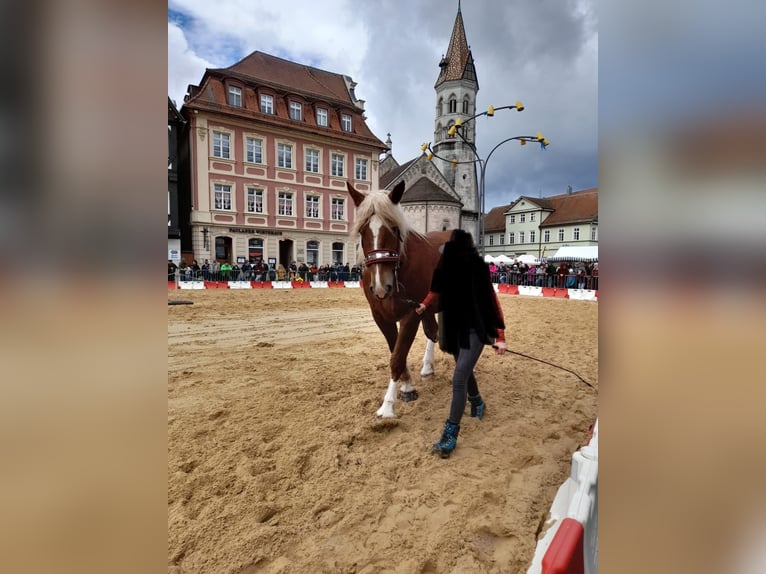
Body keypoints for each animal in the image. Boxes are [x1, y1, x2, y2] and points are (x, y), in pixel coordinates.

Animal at [346, 180, 450, 418]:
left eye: (393, 229)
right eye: (363, 231)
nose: (381, 287)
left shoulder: (411, 314)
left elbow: (397, 357)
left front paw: (387, 406)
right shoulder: (382, 316)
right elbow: (396, 351)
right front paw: (407, 386)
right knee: (432, 331)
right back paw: (427, 367)